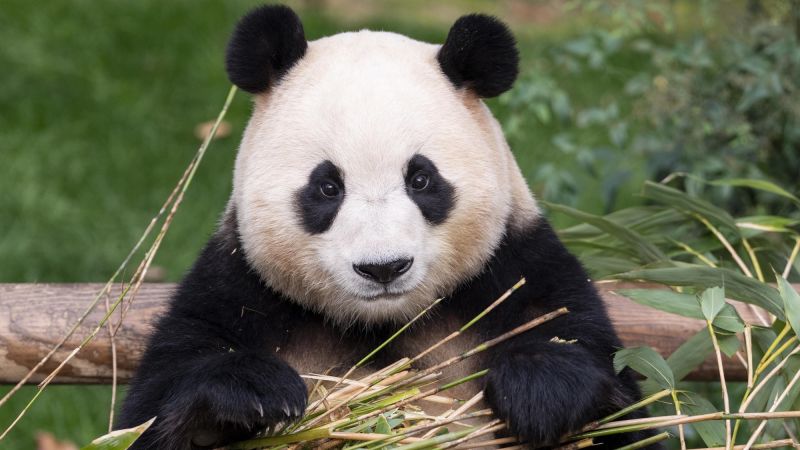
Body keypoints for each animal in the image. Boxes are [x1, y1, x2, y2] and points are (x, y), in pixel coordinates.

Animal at [118, 4, 653, 449]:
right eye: (327, 187)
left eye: (421, 179)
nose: (383, 268)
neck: (382, 326)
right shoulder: (234, 291)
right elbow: (150, 414)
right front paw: (255, 392)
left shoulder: (522, 267)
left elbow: (614, 396)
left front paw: (539, 388)